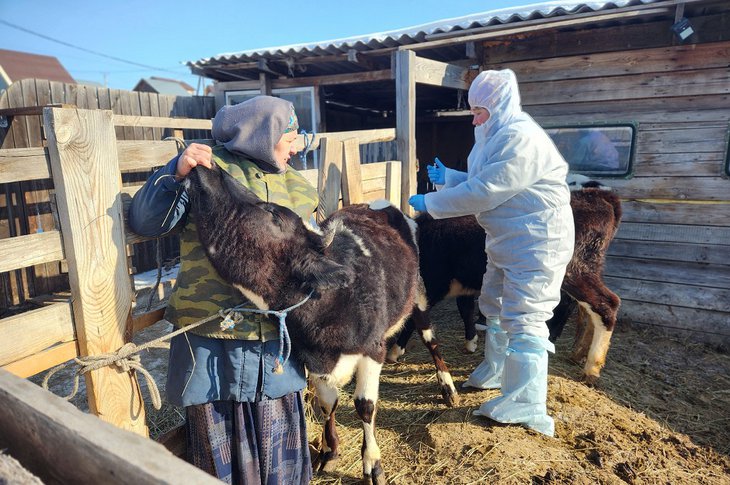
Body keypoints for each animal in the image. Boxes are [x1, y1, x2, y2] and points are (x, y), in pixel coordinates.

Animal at [183, 164, 420, 484]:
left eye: (272, 212)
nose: (208, 166)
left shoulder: (372, 349)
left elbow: (365, 405)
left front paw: (372, 463)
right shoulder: (311, 360)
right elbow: (328, 403)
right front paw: (330, 451)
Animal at [386, 185, 620, 404]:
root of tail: (597, 195)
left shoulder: (432, 285)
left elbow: (416, 322)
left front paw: (395, 350)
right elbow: (465, 309)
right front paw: (471, 342)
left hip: (574, 271)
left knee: (605, 304)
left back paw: (591, 367)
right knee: (581, 308)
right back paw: (577, 352)